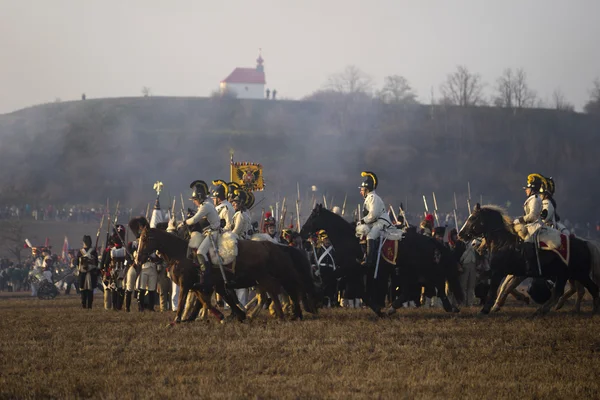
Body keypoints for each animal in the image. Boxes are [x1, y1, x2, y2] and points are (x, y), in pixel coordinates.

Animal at [300, 205, 464, 318]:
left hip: (420, 269)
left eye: (313, 216)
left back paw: (449, 307)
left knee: (434, 282)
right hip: (408, 271)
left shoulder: (349, 269)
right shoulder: (355, 272)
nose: (302, 233)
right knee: (414, 288)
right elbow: (360, 292)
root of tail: (428, 239)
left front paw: (313, 303)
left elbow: (329, 279)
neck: (347, 239)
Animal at [458, 206, 596, 316]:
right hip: (567, 275)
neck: (503, 243)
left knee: (584, 289)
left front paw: (486, 309)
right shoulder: (513, 273)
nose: (461, 234)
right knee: (567, 291)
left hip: (576, 274)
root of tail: (585, 243)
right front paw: (502, 303)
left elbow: (495, 290)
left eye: (473, 218)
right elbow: (505, 287)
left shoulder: (499, 272)